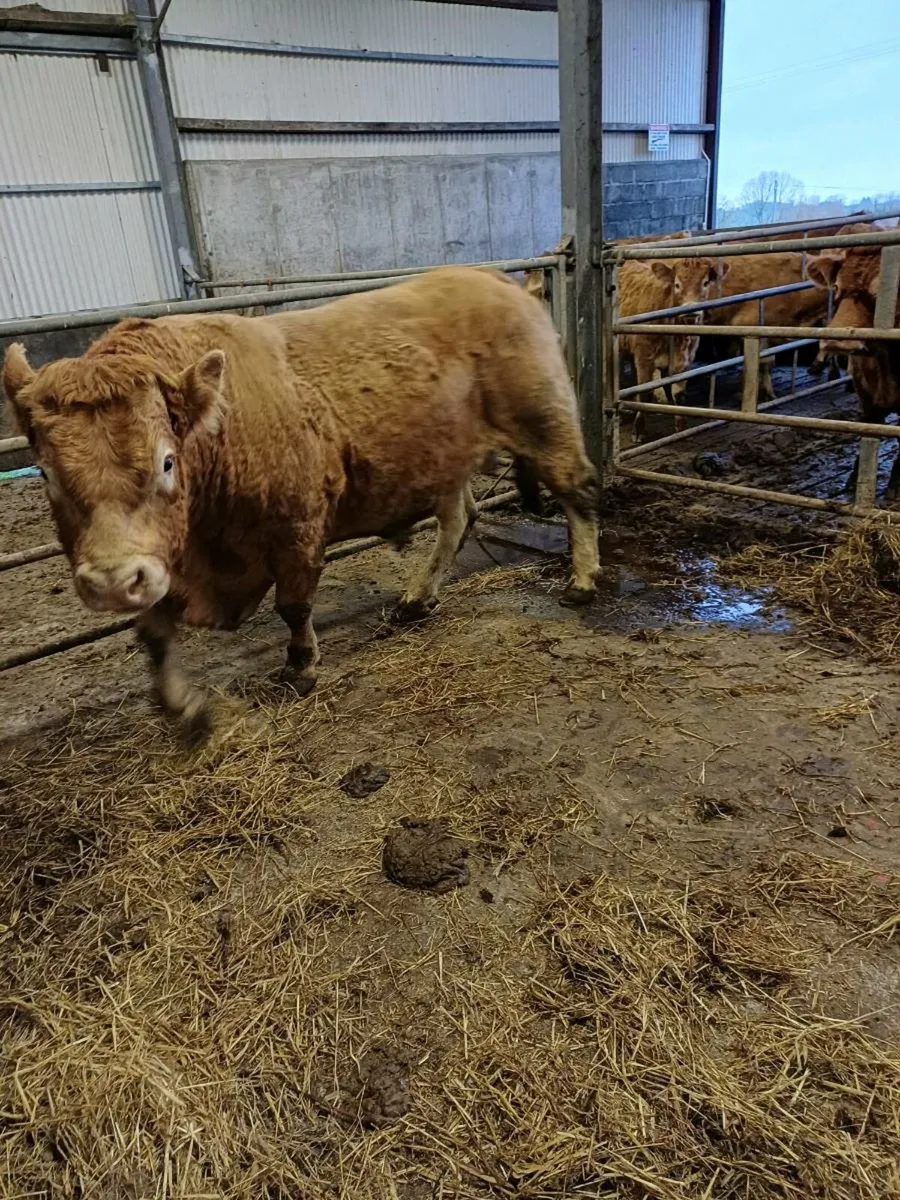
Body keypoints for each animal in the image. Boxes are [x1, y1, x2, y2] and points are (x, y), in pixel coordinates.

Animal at [2, 267, 601, 741]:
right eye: (45, 472)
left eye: (166, 462)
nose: (109, 583)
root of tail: (495, 280)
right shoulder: (161, 562)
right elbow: (152, 634)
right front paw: (186, 710)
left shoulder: (296, 529)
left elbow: (293, 606)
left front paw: (300, 666)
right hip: (445, 460)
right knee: (457, 520)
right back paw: (416, 597)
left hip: (545, 423)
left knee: (577, 492)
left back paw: (583, 579)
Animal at [807, 243, 900, 499]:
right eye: (837, 286)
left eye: (882, 291)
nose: (837, 340)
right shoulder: (863, 390)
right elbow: (867, 430)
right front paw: (854, 479)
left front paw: (895, 486)